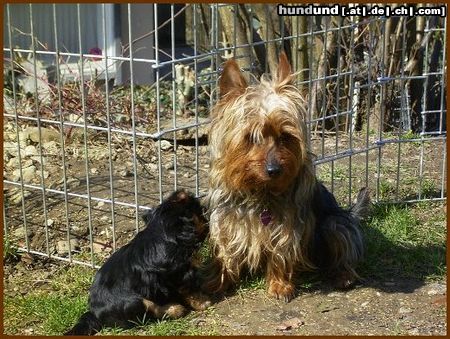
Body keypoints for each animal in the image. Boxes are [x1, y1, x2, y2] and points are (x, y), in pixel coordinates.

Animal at [65, 190, 211, 336]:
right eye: (200, 213)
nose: (208, 220)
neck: (161, 234)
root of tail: (94, 314)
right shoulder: (180, 273)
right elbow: (190, 290)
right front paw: (203, 302)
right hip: (136, 301)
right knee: (147, 315)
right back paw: (174, 309)